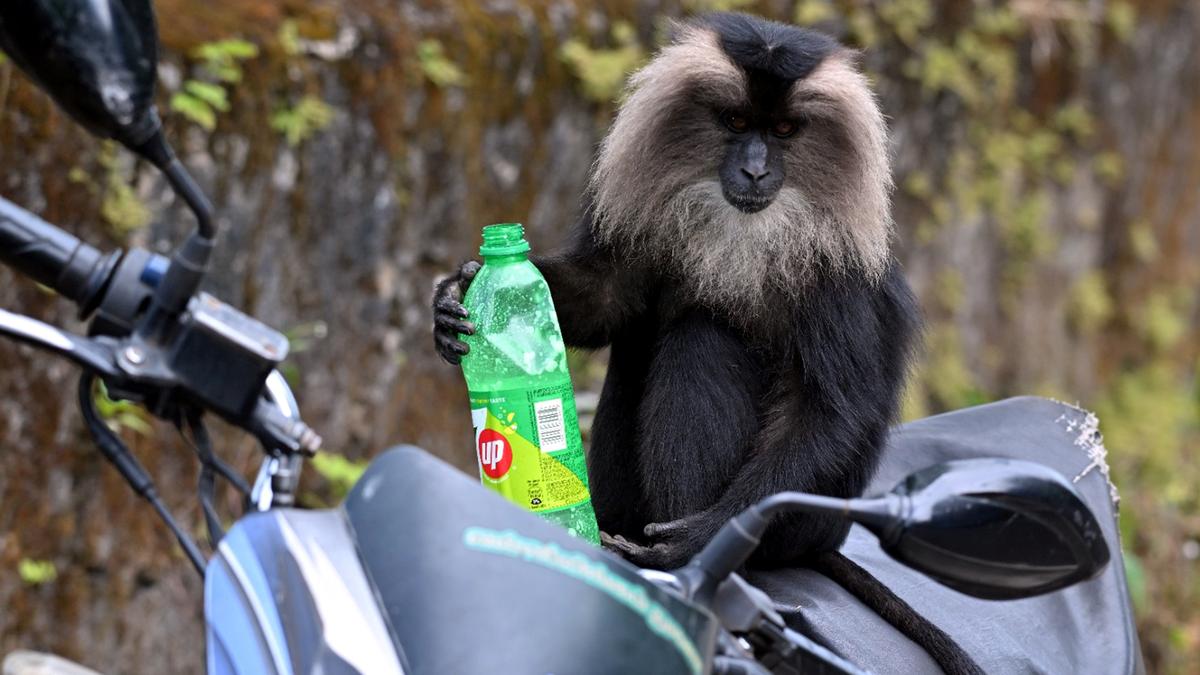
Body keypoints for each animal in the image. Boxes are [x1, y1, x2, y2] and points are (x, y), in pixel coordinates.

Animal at [434, 13, 980, 675]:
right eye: (737, 123)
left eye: (784, 130)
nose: (755, 170)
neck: (749, 226)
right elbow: (606, 300)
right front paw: (453, 298)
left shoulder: (840, 264)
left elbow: (829, 410)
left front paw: (704, 536)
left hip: (801, 528)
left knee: (704, 336)